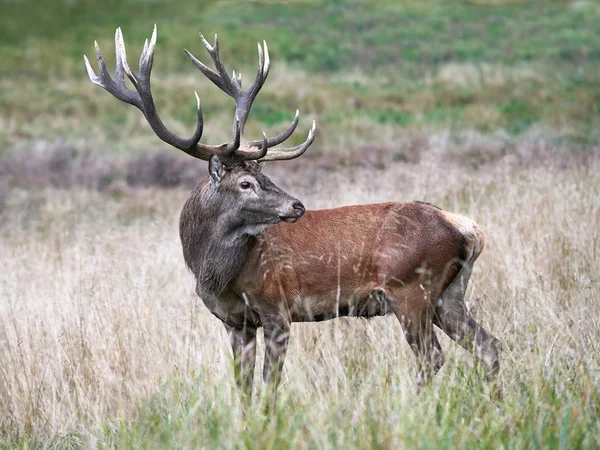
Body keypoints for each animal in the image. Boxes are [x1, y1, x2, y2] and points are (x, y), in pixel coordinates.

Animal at [82, 23, 500, 404]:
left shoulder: (277, 309)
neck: (216, 275)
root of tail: (467, 229)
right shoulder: (234, 322)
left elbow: (269, 385)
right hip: (449, 294)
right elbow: (243, 388)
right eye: (246, 183)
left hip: (412, 290)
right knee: (489, 345)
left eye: (264, 176)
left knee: (433, 358)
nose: (296, 205)